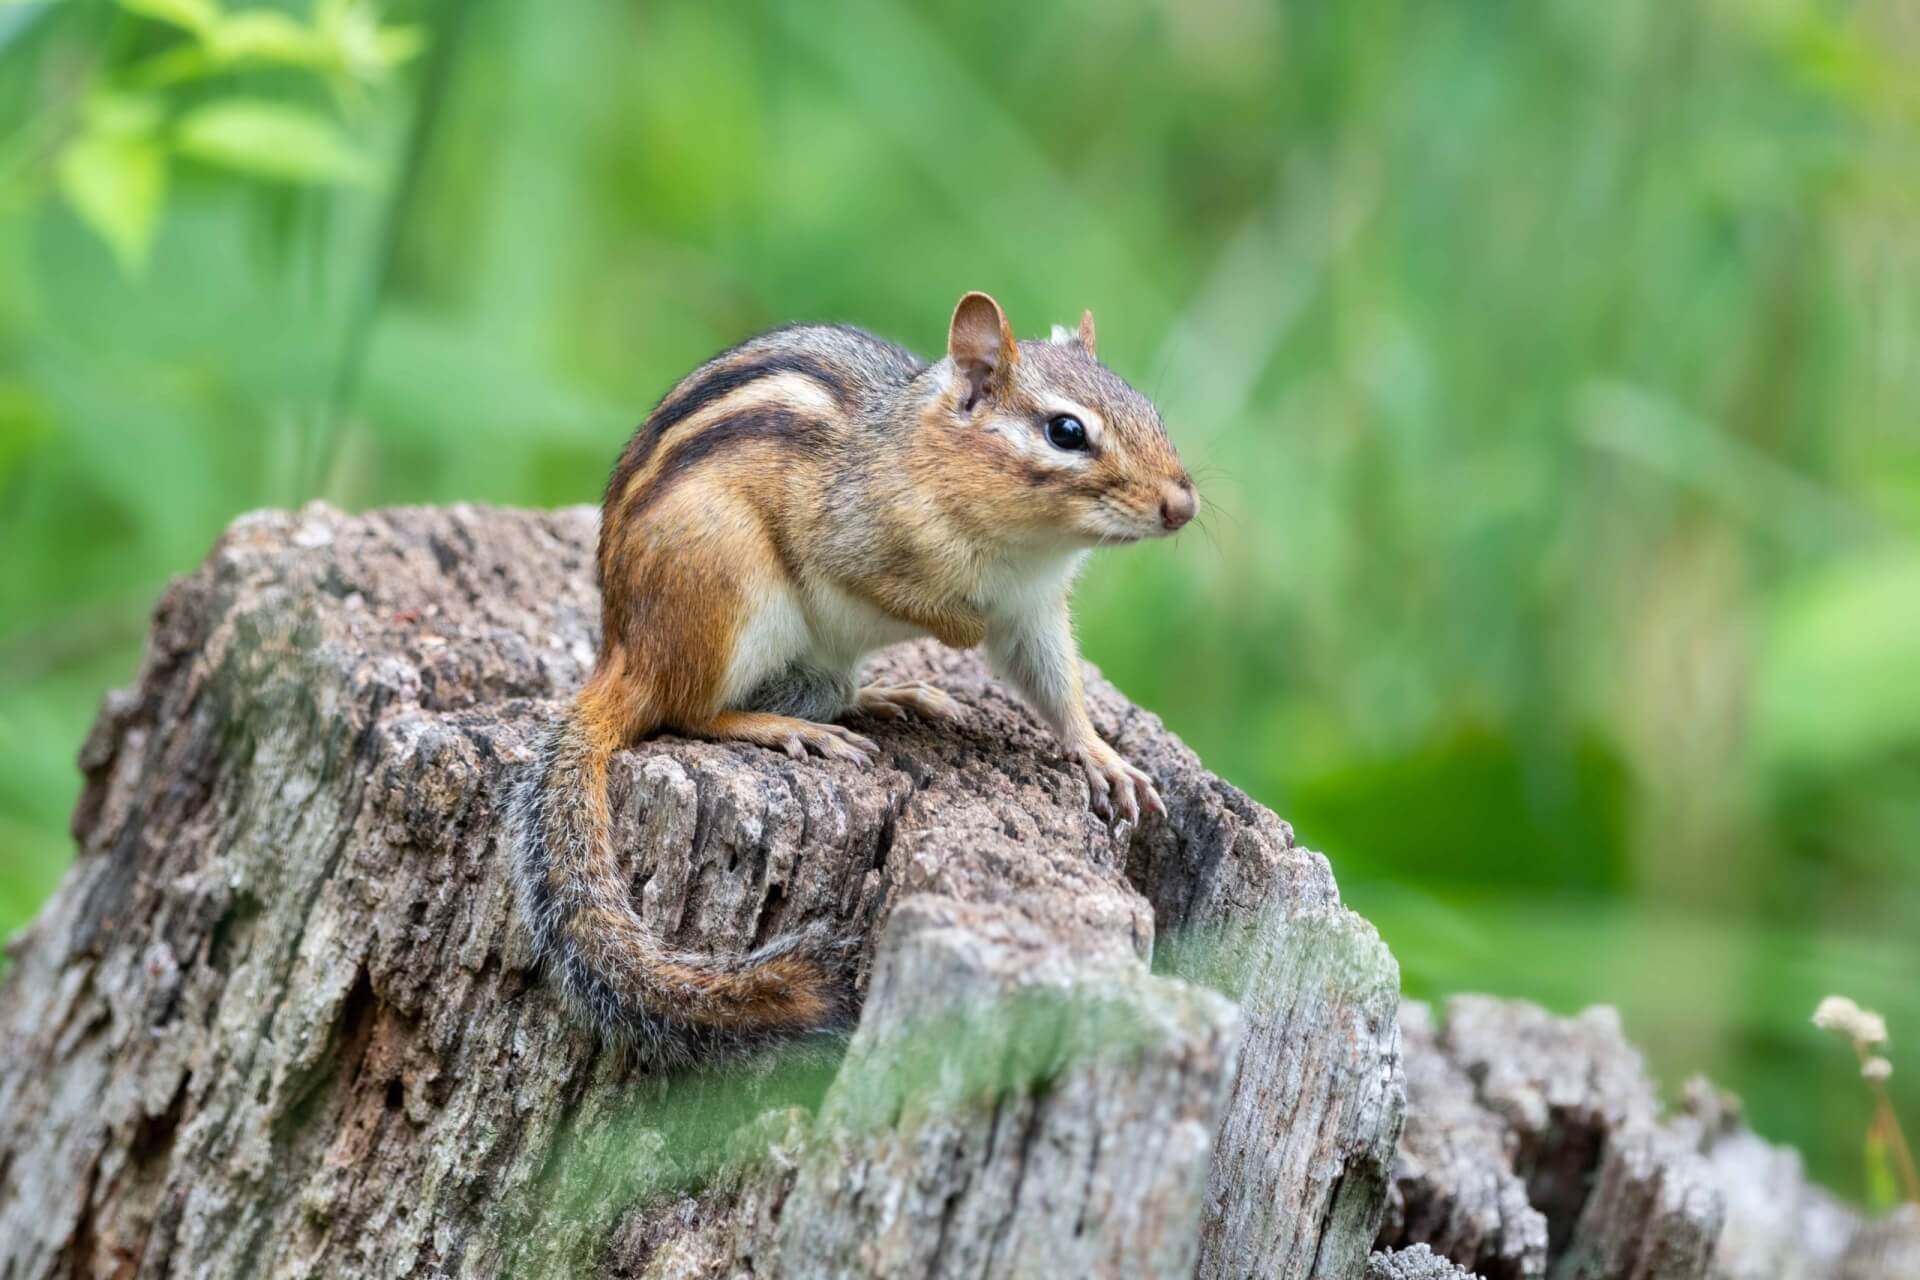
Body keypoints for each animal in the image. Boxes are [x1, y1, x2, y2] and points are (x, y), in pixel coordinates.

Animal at [509, 291, 1198, 1067]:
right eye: (1067, 431)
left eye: (1149, 409)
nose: (1183, 506)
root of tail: (620, 652)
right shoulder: (847, 540)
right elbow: (907, 597)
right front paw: (960, 627)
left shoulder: (1033, 612)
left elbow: (1057, 687)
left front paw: (1104, 758)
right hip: (726, 591)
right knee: (691, 710)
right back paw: (789, 730)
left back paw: (886, 696)